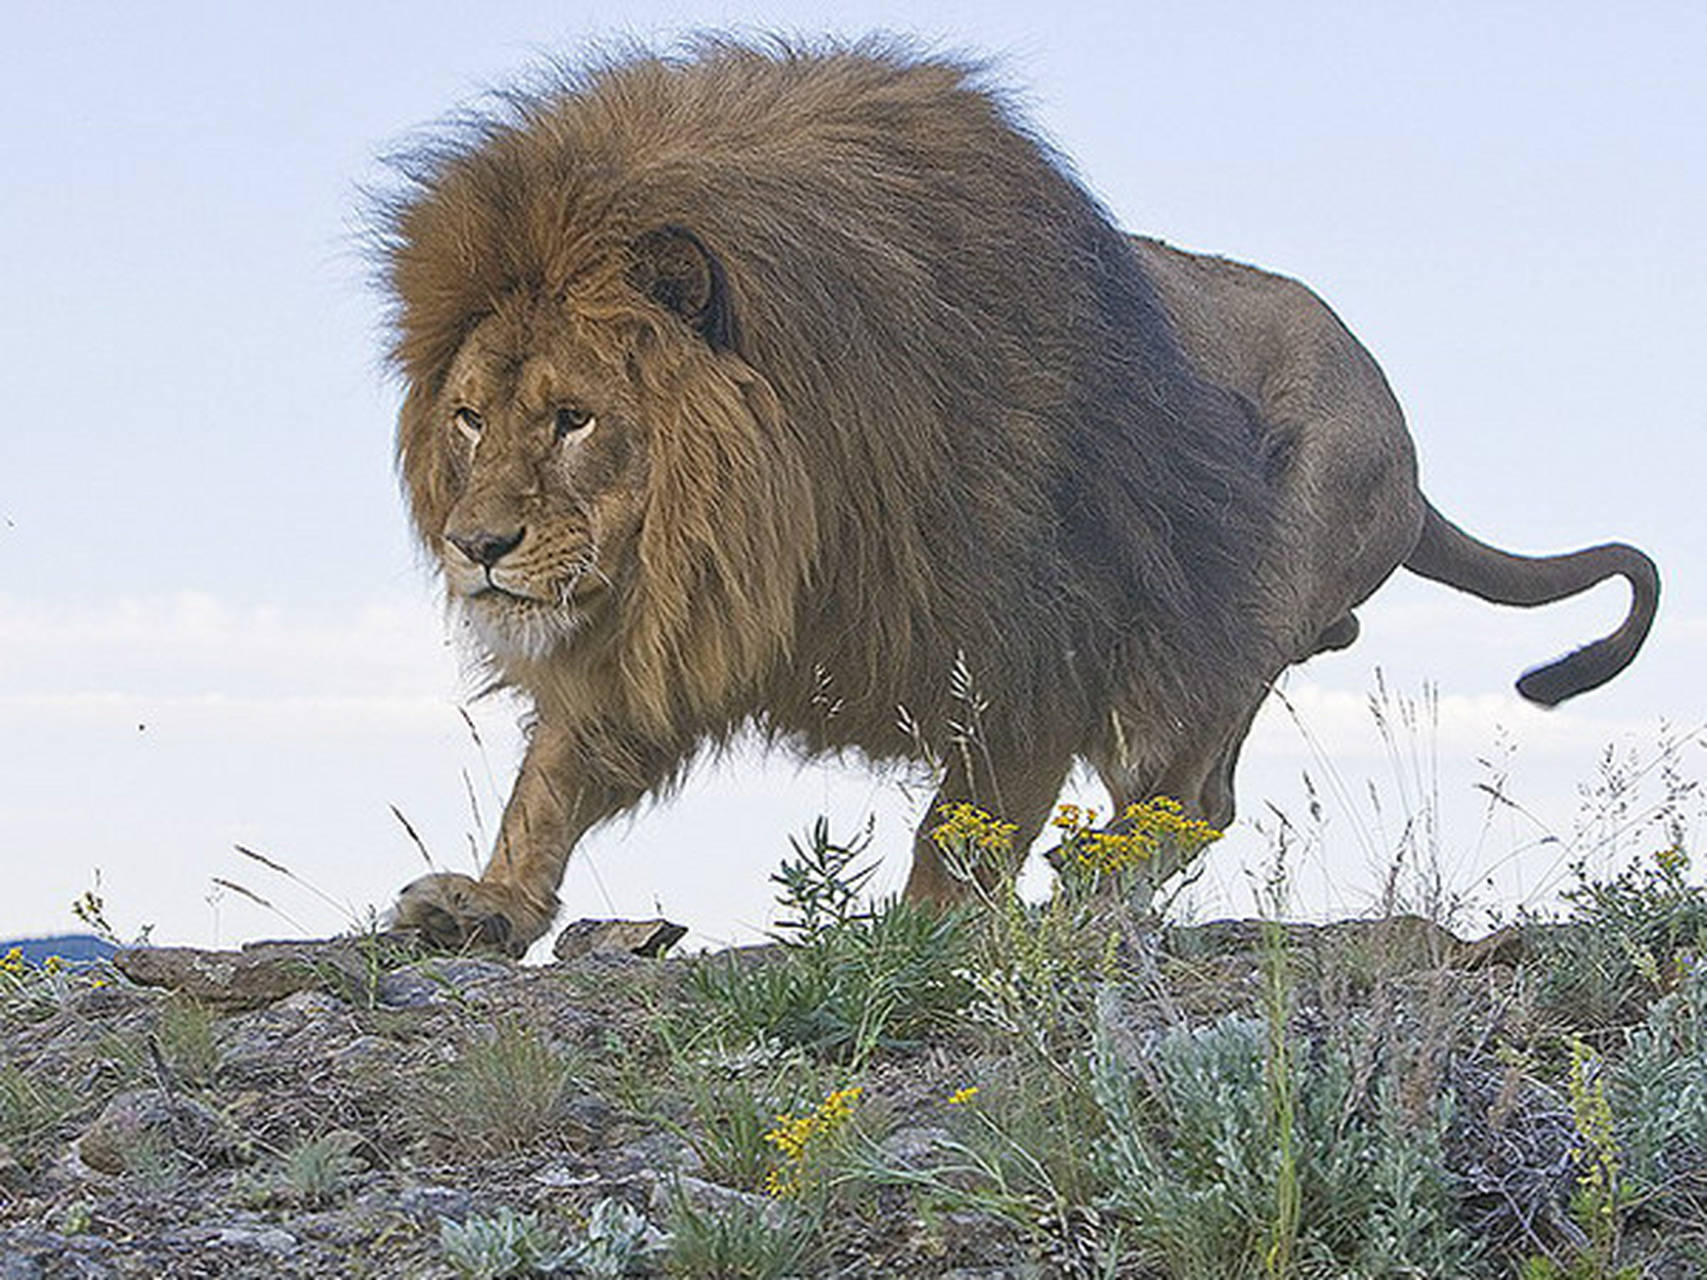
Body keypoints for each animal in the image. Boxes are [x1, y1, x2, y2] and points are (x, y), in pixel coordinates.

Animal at [380, 40, 1659, 955]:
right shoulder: (667, 629)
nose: (474, 544)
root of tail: (1407, 448)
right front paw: (488, 901)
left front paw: (931, 930)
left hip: (1256, 592)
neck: (771, 515)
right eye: (471, 416)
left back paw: (1089, 904)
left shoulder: (1042, 636)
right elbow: (551, 782)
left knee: (1193, 795)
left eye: (576, 417)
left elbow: (968, 822)